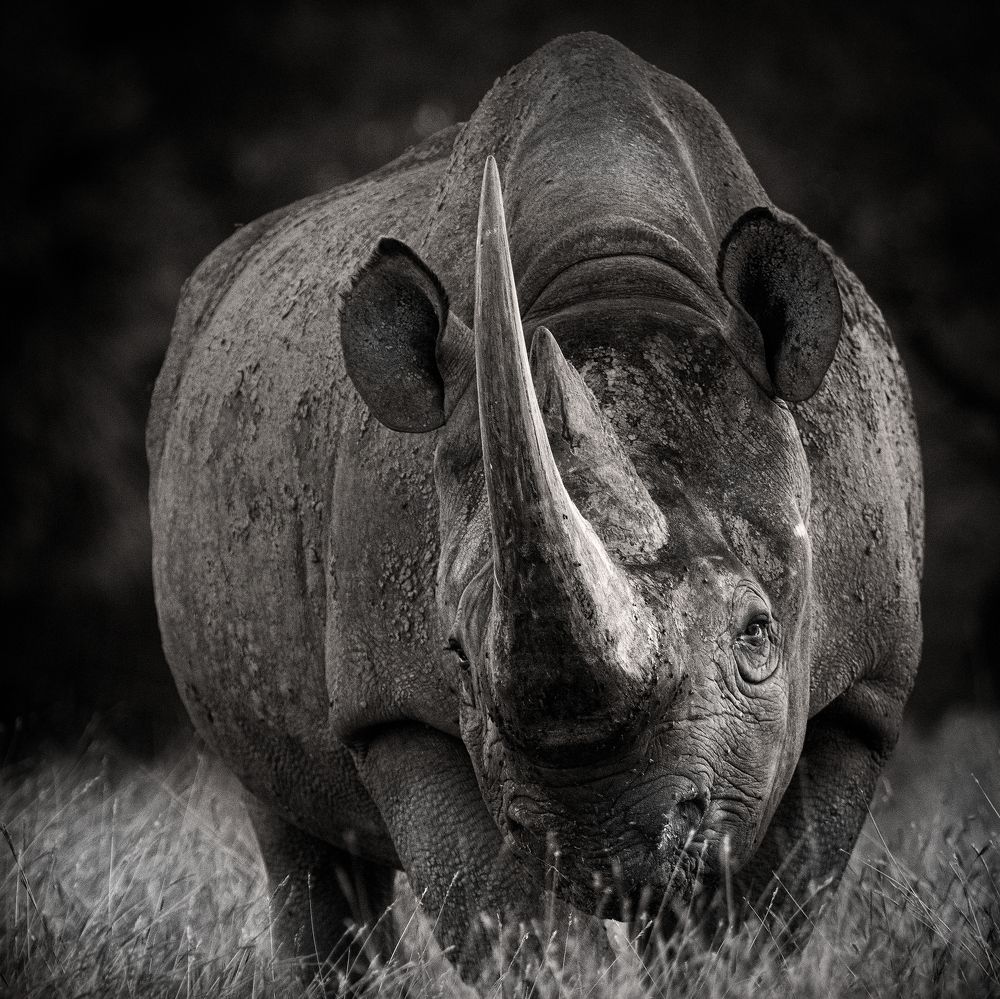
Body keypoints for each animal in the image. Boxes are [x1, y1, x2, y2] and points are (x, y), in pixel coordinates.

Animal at [147, 32, 923, 979]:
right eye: (455, 655)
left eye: (758, 636)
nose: (607, 847)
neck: (616, 265)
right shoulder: (398, 714)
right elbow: (515, 928)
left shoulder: (867, 691)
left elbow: (747, 928)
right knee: (290, 821)